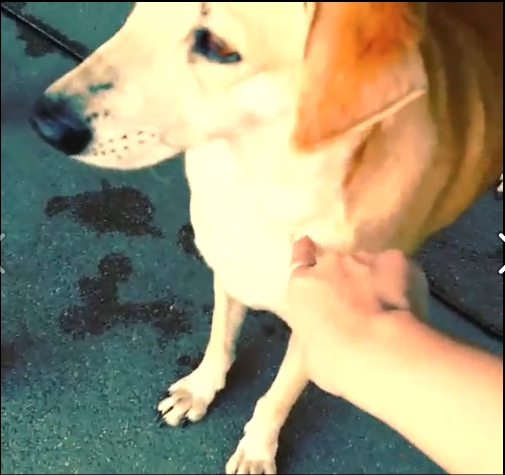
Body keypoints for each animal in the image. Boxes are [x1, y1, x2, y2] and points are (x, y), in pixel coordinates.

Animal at [30, 3, 503, 474]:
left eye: (218, 46)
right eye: (140, 7)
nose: (46, 122)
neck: (259, 187)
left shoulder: (325, 323)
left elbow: (277, 397)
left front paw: (258, 448)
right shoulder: (232, 263)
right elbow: (221, 339)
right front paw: (200, 388)